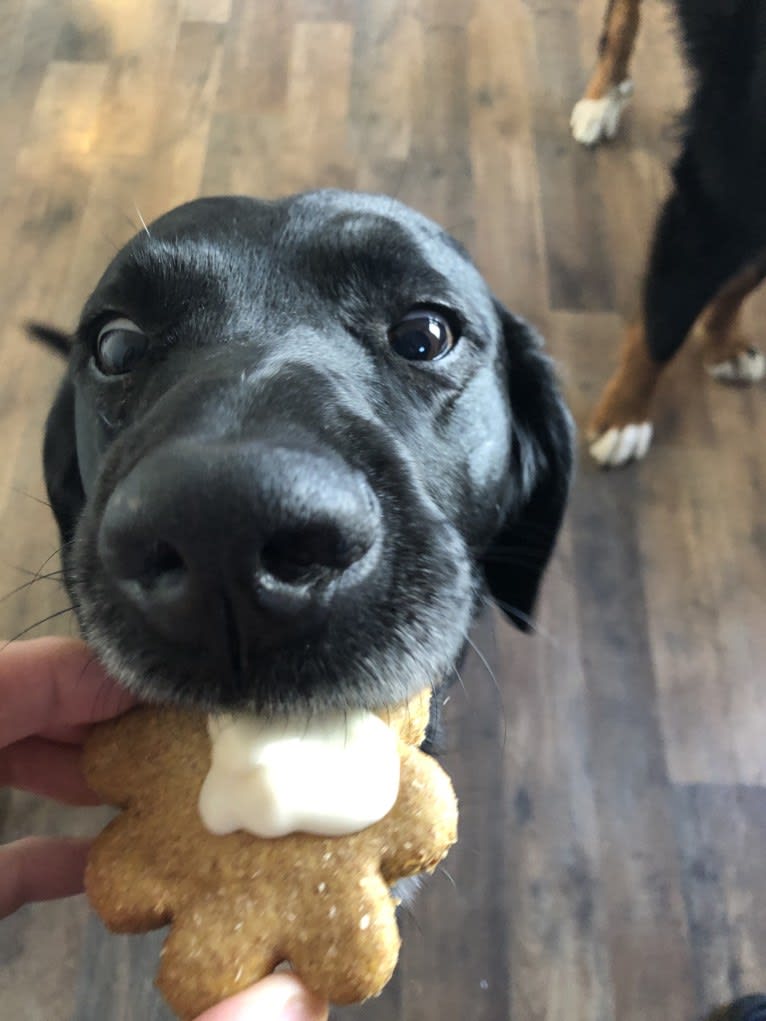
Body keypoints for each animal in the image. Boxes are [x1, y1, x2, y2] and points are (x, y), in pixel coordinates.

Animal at [571, 0, 763, 467]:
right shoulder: (712, 197)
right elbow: (663, 325)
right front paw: (624, 418)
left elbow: (744, 282)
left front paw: (724, 342)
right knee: (621, 18)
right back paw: (602, 97)